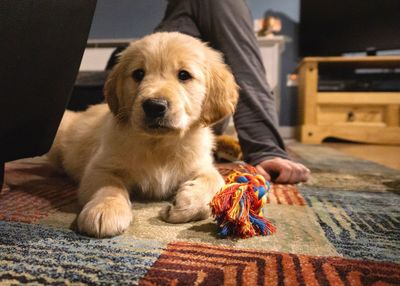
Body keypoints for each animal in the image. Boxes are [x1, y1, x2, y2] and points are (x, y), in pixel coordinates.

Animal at [48, 31, 239, 238]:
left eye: (184, 75)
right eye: (138, 74)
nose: (154, 106)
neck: (159, 144)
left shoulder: (202, 165)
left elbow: (216, 181)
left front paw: (184, 206)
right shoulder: (99, 167)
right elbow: (109, 186)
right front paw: (105, 210)